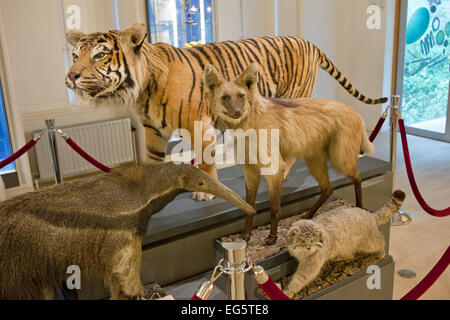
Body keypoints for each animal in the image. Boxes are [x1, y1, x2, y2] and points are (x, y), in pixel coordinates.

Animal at [64, 24, 386, 200]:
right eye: (75, 54)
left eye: (100, 55)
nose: (71, 76)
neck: (142, 89)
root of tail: (308, 42)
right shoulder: (151, 130)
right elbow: (153, 160)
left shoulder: (197, 123)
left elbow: (205, 161)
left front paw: (206, 191)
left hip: (293, 96)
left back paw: (282, 172)